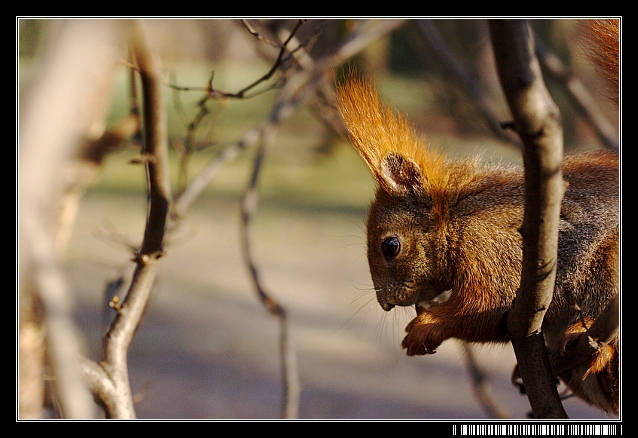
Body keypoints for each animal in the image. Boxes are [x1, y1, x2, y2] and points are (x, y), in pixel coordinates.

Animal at [338, 20, 624, 416]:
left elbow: (485, 307)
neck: (458, 219)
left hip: (610, 268)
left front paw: (424, 327)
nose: (386, 303)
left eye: (390, 246)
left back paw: (593, 343)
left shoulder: (492, 247)